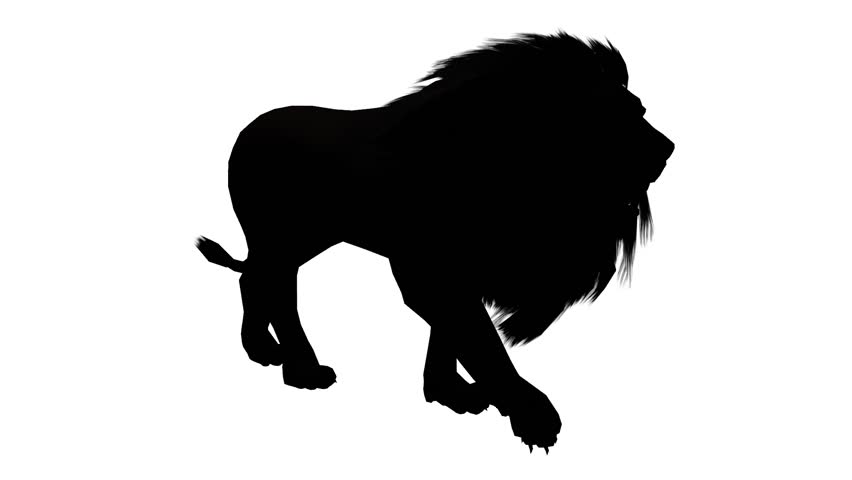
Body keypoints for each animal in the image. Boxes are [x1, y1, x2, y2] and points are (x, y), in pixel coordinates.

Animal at [197, 31, 674, 452]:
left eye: (640, 109)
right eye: (616, 116)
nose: (669, 148)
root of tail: (246, 132)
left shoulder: (460, 271)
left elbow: (448, 336)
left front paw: (449, 394)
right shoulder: (427, 271)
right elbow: (482, 344)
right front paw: (532, 415)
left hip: (301, 240)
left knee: (254, 280)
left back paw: (264, 350)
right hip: (283, 236)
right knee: (275, 288)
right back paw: (303, 370)